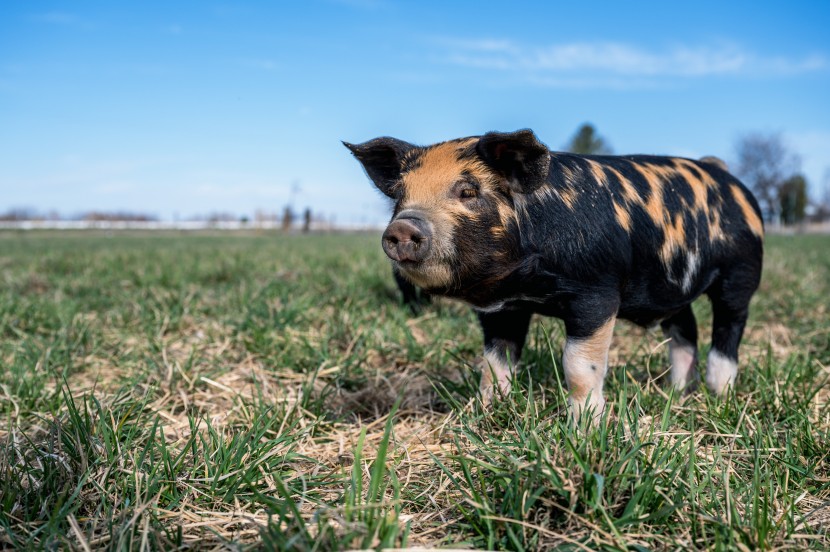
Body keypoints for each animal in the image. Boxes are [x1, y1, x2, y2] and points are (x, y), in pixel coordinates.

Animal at [344, 130, 768, 418]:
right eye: (400, 196)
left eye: (467, 191)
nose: (403, 227)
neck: (527, 282)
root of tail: (724, 174)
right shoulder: (503, 309)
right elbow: (493, 364)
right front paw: (486, 413)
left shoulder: (597, 293)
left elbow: (579, 365)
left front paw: (584, 427)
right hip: (672, 288)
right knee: (684, 331)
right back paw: (677, 392)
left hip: (741, 273)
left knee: (728, 327)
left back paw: (719, 393)